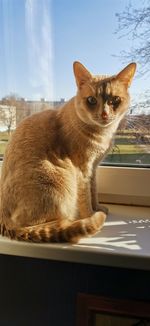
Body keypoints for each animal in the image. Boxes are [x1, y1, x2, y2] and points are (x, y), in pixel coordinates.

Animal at [0, 62, 136, 243]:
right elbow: (86, 199)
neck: (103, 134)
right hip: (59, 179)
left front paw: (98, 208)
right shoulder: (83, 170)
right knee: (40, 224)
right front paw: (91, 214)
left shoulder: (93, 168)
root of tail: (4, 222)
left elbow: (94, 192)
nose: (104, 114)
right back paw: (71, 221)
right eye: (91, 100)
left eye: (115, 100)